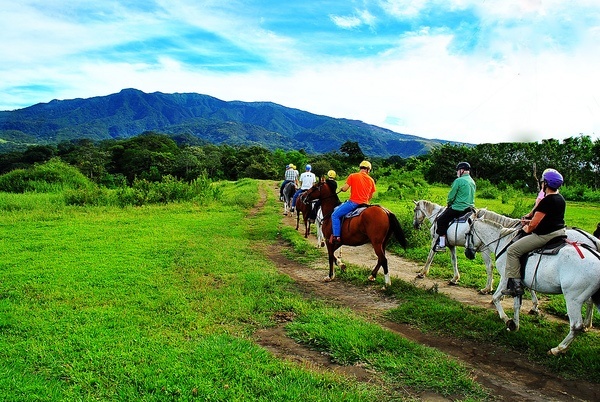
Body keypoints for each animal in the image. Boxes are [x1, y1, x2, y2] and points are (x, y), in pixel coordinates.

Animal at [470, 217, 600, 355]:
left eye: (468, 234)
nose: (469, 253)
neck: (504, 242)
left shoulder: (506, 277)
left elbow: (496, 297)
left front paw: (506, 319)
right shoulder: (518, 282)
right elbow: (517, 304)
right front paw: (515, 324)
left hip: (573, 298)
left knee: (576, 325)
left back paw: (558, 348)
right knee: (588, 305)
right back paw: (585, 326)